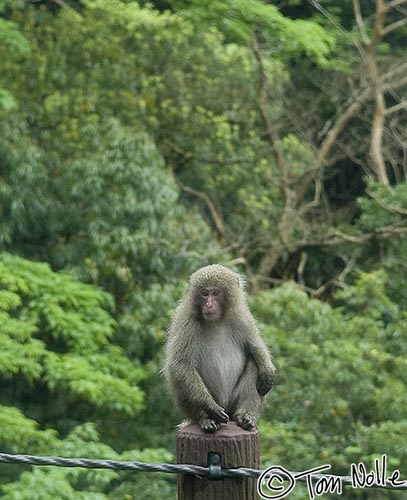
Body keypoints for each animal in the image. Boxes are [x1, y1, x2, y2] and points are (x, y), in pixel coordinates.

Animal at [164, 264, 276, 432]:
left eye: (216, 293)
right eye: (204, 293)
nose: (209, 305)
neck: (216, 320)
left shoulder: (242, 316)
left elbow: (255, 346)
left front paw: (267, 370)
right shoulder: (185, 320)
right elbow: (180, 365)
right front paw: (209, 407)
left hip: (232, 403)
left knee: (254, 364)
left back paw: (245, 416)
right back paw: (205, 418)